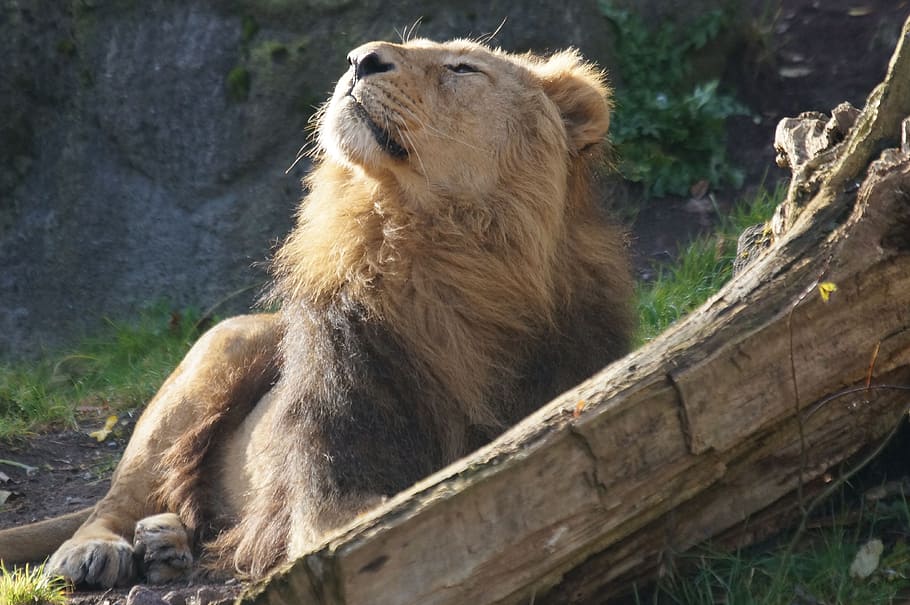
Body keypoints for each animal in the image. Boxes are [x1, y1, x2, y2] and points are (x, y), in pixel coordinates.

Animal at [0, 38, 634, 588]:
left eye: (462, 68)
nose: (360, 58)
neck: (439, 261)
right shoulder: (328, 489)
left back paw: (165, 545)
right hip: (219, 348)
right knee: (119, 496)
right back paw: (97, 550)